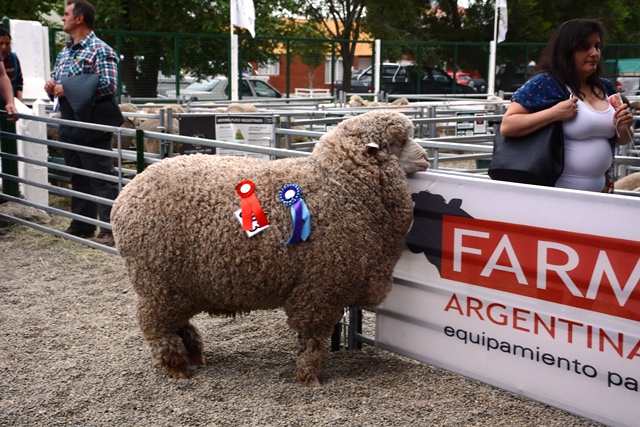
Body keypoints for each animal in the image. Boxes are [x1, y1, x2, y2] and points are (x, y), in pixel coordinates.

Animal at [111, 108, 430, 386]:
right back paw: (176, 365)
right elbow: (313, 339)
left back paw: (193, 353)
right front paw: (310, 377)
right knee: (155, 324)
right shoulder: (321, 287)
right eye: (396, 142)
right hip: (157, 281)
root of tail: (125, 196)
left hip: (178, 286)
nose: (426, 158)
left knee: (177, 321)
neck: (341, 185)